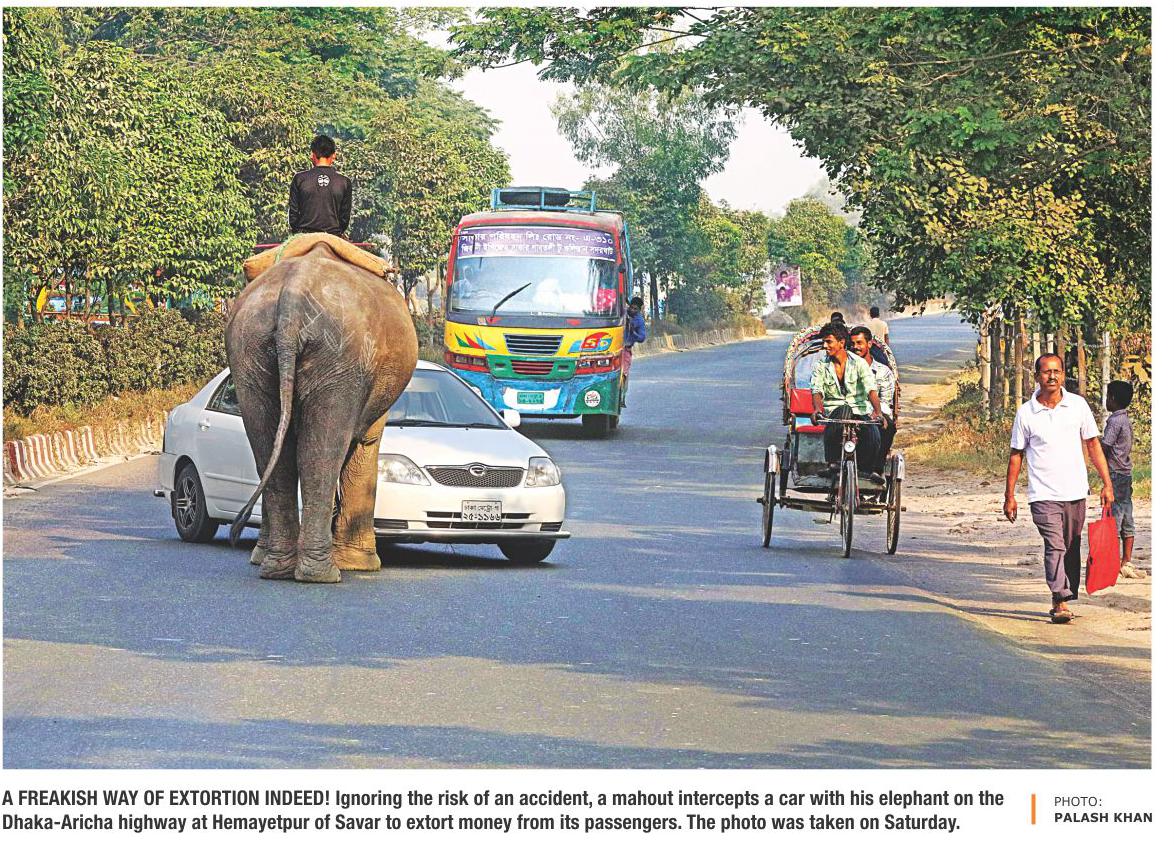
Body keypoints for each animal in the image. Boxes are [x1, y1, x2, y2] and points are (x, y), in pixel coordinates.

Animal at [225, 241, 417, 583]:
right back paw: (322, 574)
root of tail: (294, 294)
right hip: (343, 357)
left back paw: (279, 568)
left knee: (271, 450)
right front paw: (361, 565)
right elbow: (367, 442)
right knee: (321, 453)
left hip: (249, 352)